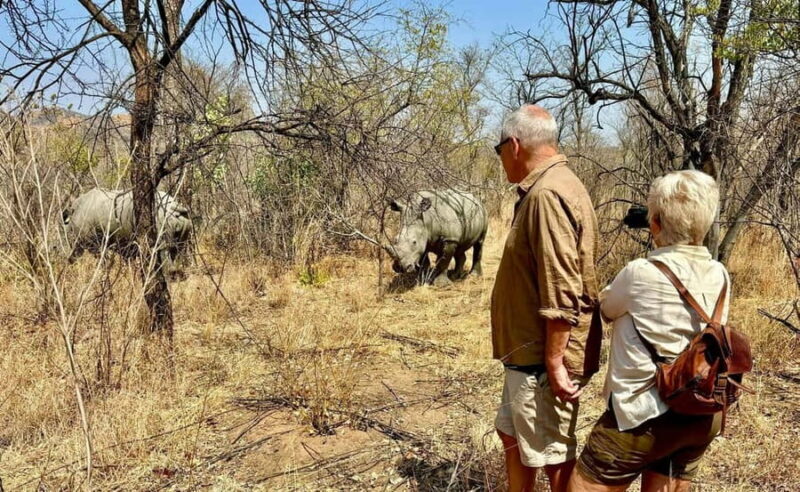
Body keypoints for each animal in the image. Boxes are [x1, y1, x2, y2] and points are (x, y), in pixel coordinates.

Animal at [62, 188, 192, 273]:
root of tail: (176, 207)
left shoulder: (94, 243)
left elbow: (102, 261)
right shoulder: (124, 242)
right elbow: (127, 259)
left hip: (161, 217)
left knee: (163, 247)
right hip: (183, 219)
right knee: (178, 248)